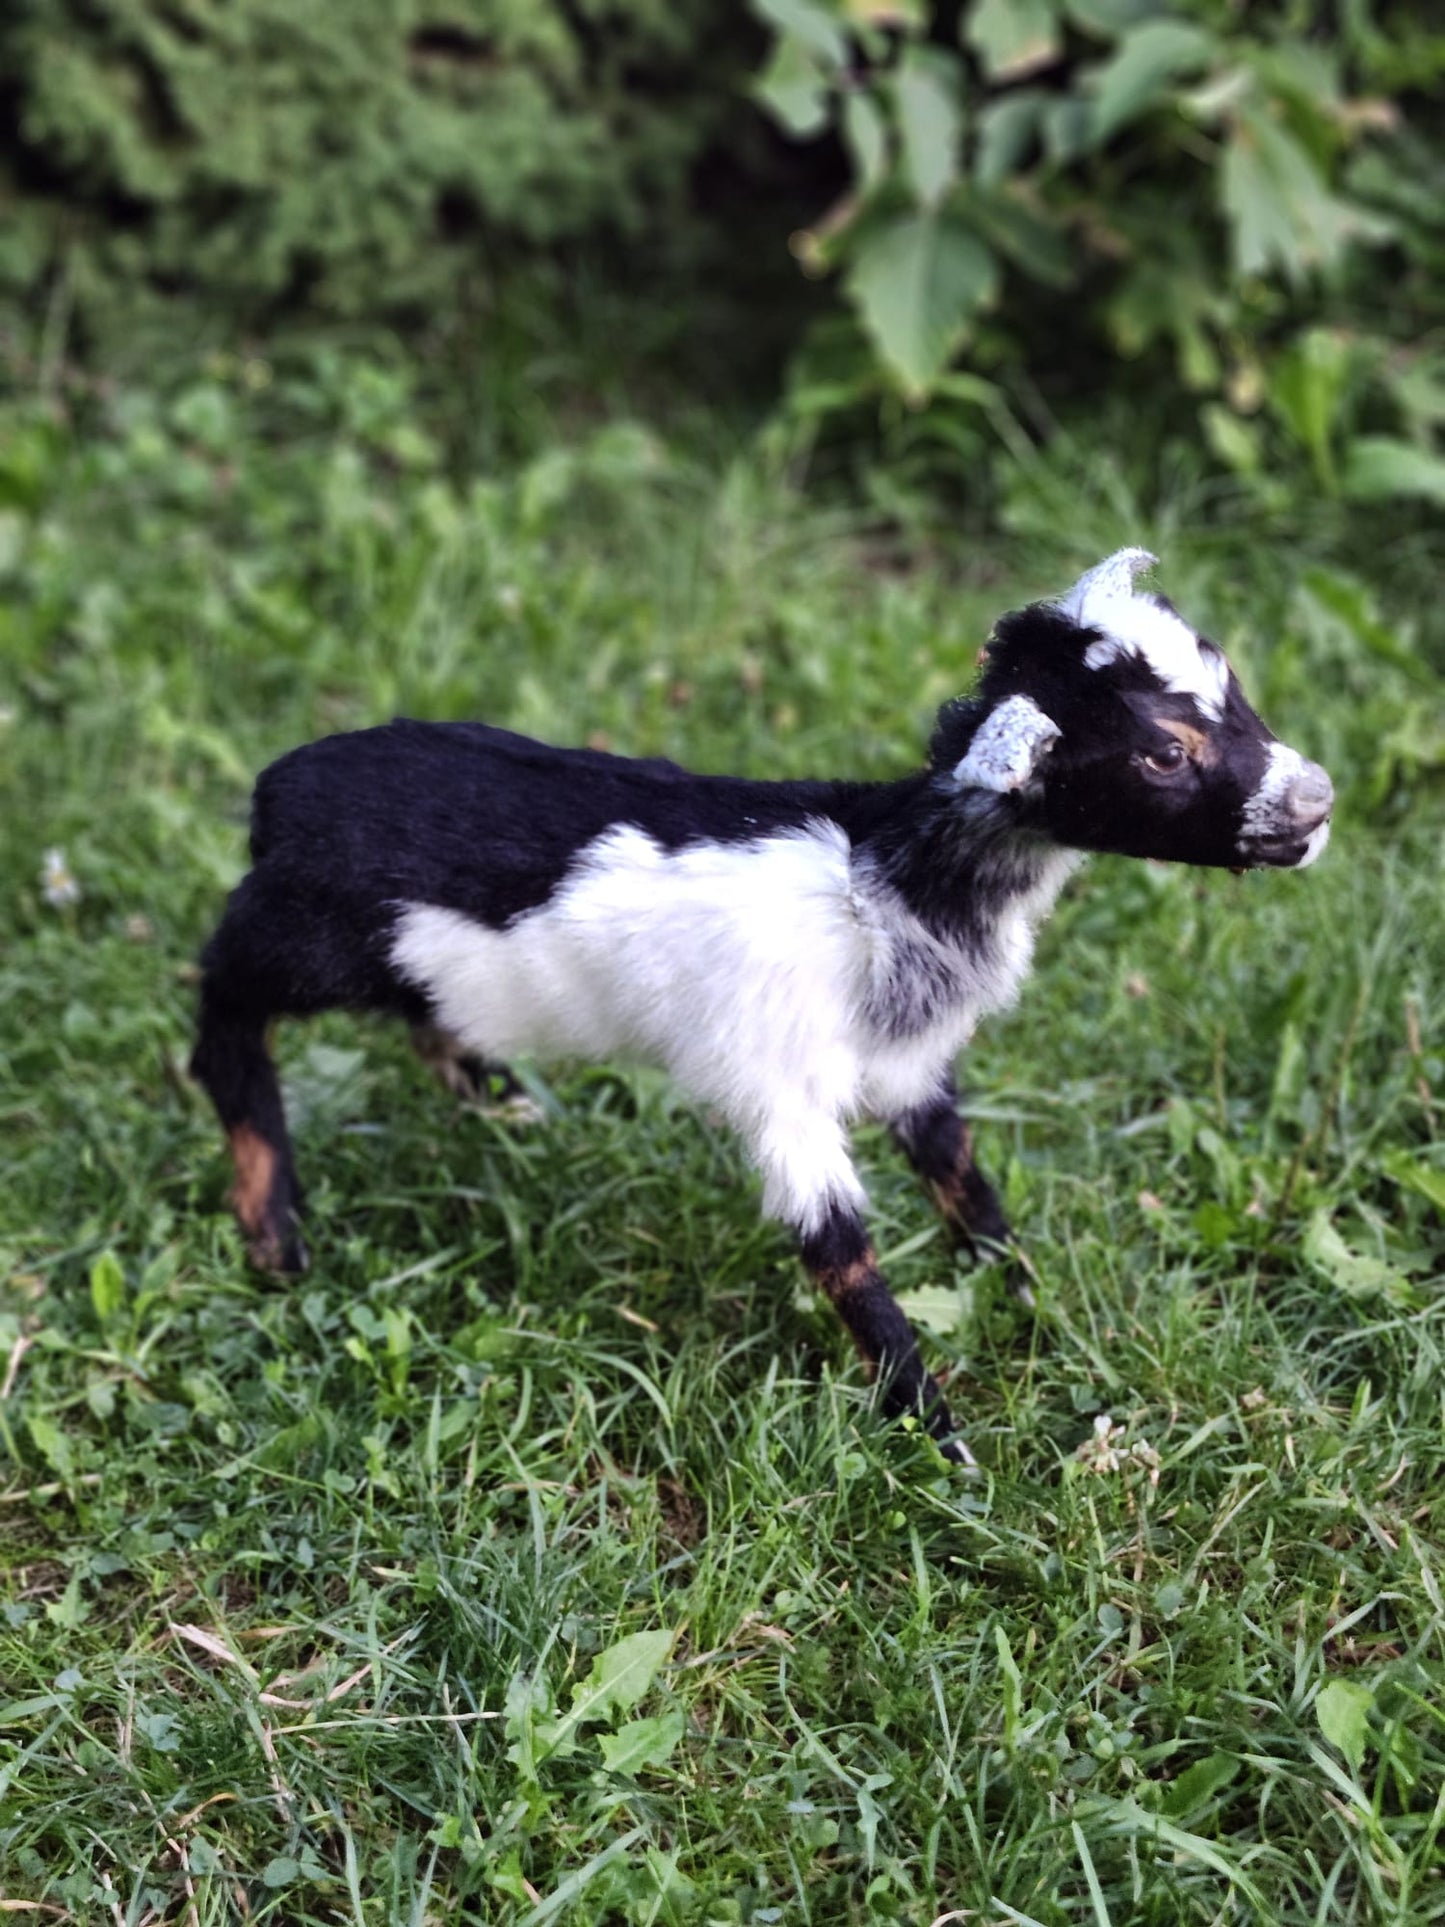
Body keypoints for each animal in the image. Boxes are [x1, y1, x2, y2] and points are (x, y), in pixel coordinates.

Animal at [191, 548, 1332, 1466]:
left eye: (1230, 685)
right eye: (1162, 752)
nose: (1315, 803)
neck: (884, 882)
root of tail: (279, 788)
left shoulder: (909, 1065)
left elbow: (966, 1184)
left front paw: (1031, 1306)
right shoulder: (784, 1086)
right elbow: (843, 1254)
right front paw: (941, 1442)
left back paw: (492, 1093)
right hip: (313, 927)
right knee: (224, 1004)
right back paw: (273, 1228)